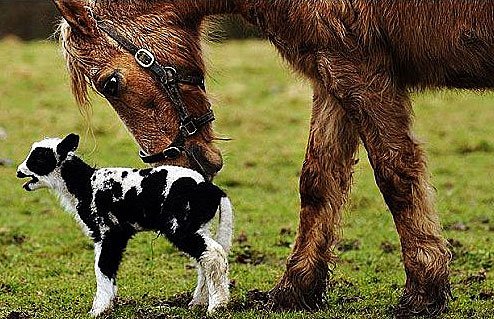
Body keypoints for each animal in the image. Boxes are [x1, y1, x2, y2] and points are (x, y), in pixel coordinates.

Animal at [15, 134, 232, 316]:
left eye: (40, 158)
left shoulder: (109, 231)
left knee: (213, 254)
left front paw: (98, 310)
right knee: (205, 258)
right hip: (198, 224)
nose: (19, 172)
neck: (85, 185)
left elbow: (102, 267)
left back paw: (216, 306)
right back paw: (199, 302)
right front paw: (108, 304)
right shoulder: (111, 235)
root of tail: (210, 189)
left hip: (180, 226)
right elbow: (106, 267)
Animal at [51, 0, 494, 318]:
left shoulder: (357, 69)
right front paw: (297, 288)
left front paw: (424, 289)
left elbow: (395, 172)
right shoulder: (330, 72)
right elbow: (317, 180)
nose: (175, 161)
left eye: (111, 82)